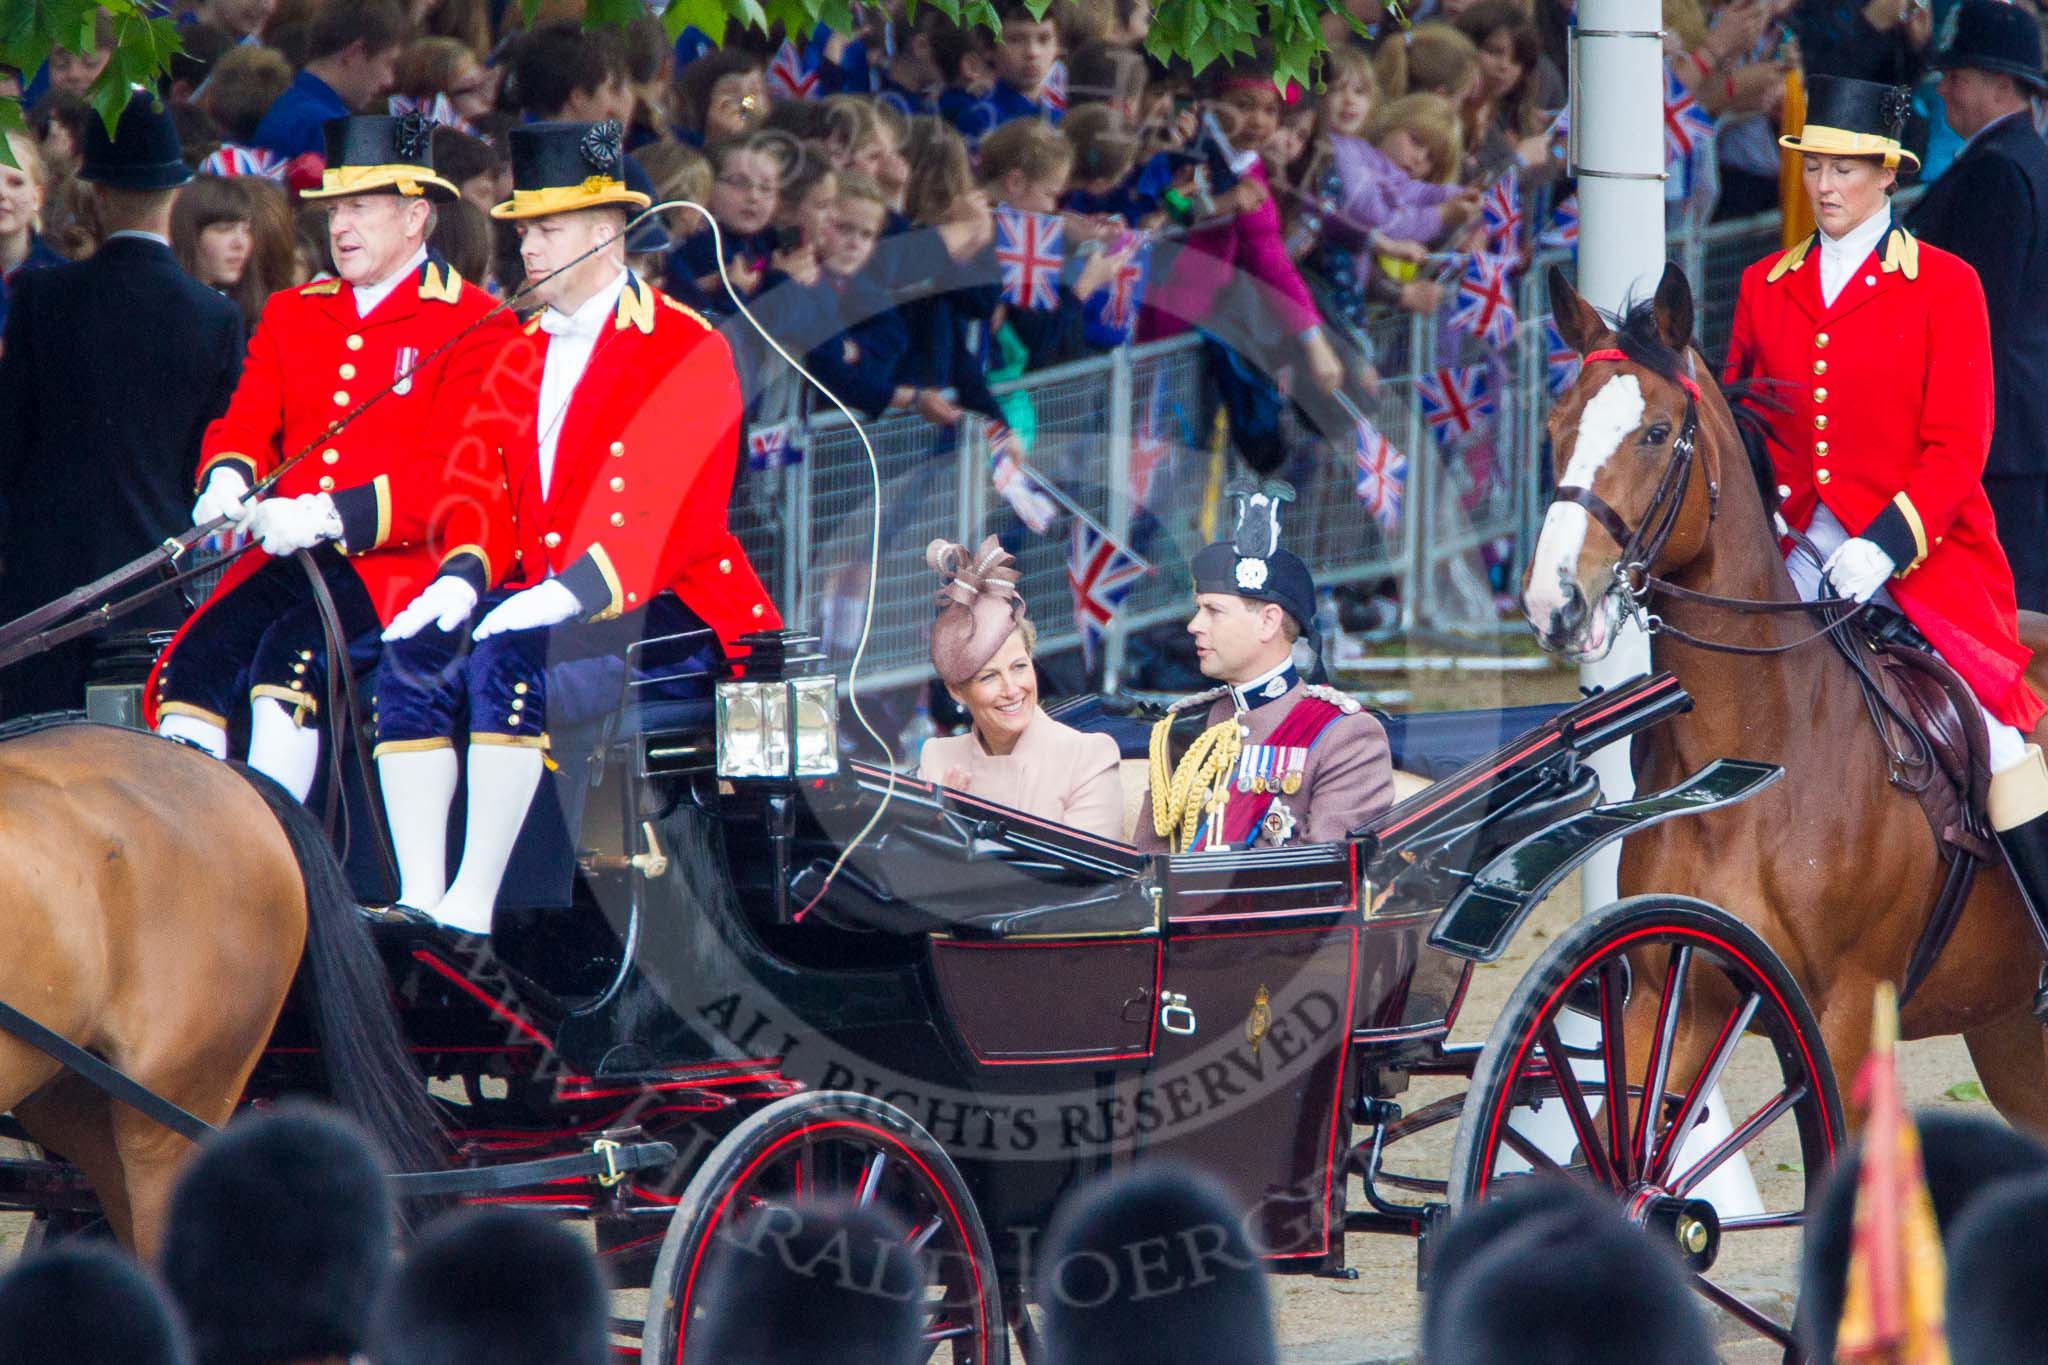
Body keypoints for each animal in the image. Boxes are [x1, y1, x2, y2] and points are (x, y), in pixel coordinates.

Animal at [1531, 261, 2048, 1137]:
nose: (1553, 600)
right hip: (2013, 1040)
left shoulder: (1846, 1018)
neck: (1758, 745)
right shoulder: (1669, 998)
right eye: (1556, 424)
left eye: (1656, 433)